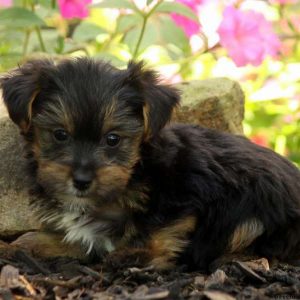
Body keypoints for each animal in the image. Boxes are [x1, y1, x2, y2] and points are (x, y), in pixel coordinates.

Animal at [0, 58, 300, 272]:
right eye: (60, 134)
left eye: (113, 139)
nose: (81, 180)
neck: (134, 174)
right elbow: (65, 237)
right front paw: (20, 245)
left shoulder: (186, 195)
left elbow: (164, 227)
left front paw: (136, 254)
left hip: (258, 200)